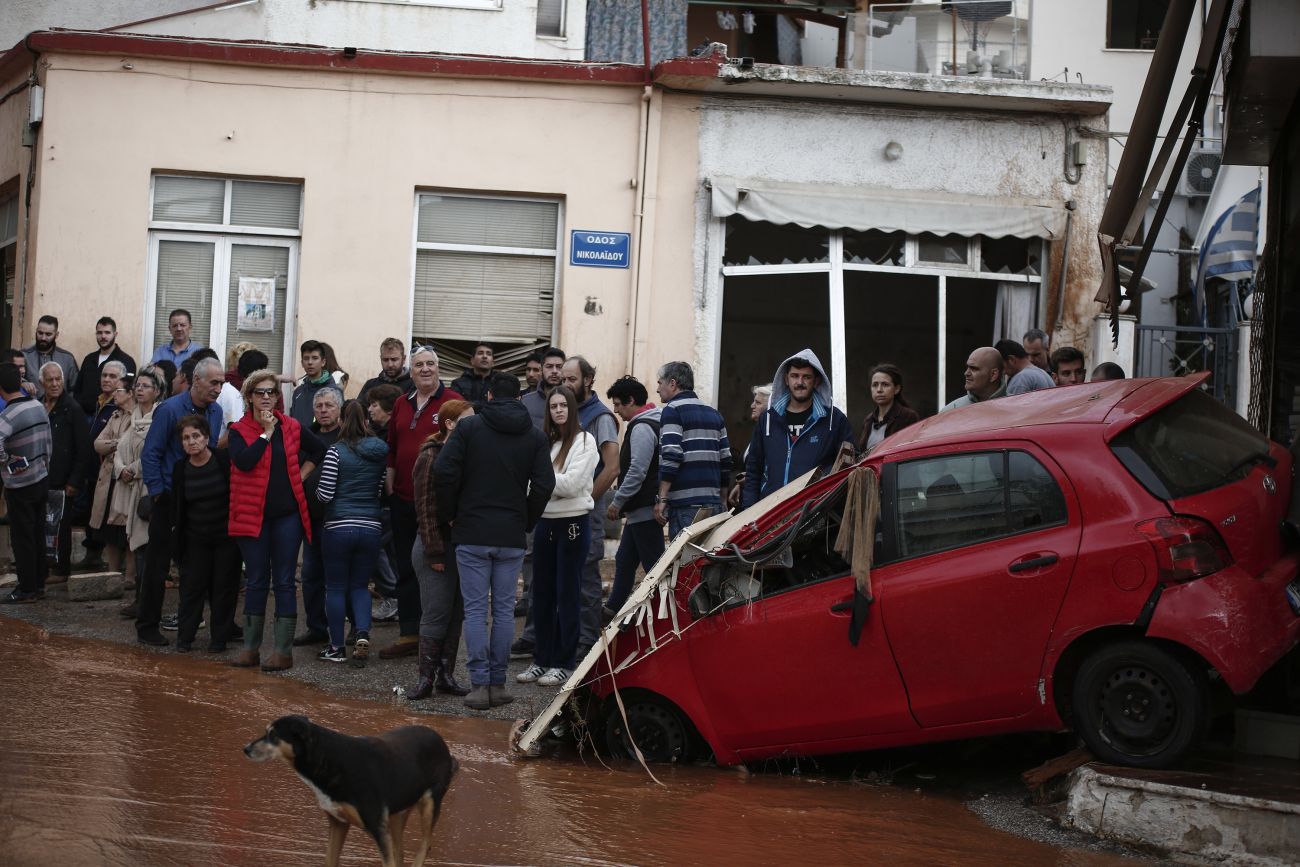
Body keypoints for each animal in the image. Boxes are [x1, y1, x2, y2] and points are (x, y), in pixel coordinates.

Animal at [244, 717, 457, 863]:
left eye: (273, 736)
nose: (245, 749)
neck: (329, 758)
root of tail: (441, 742)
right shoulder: (338, 823)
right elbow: (329, 860)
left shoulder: (378, 828)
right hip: (398, 814)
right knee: (401, 852)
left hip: (429, 804)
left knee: (425, 845)